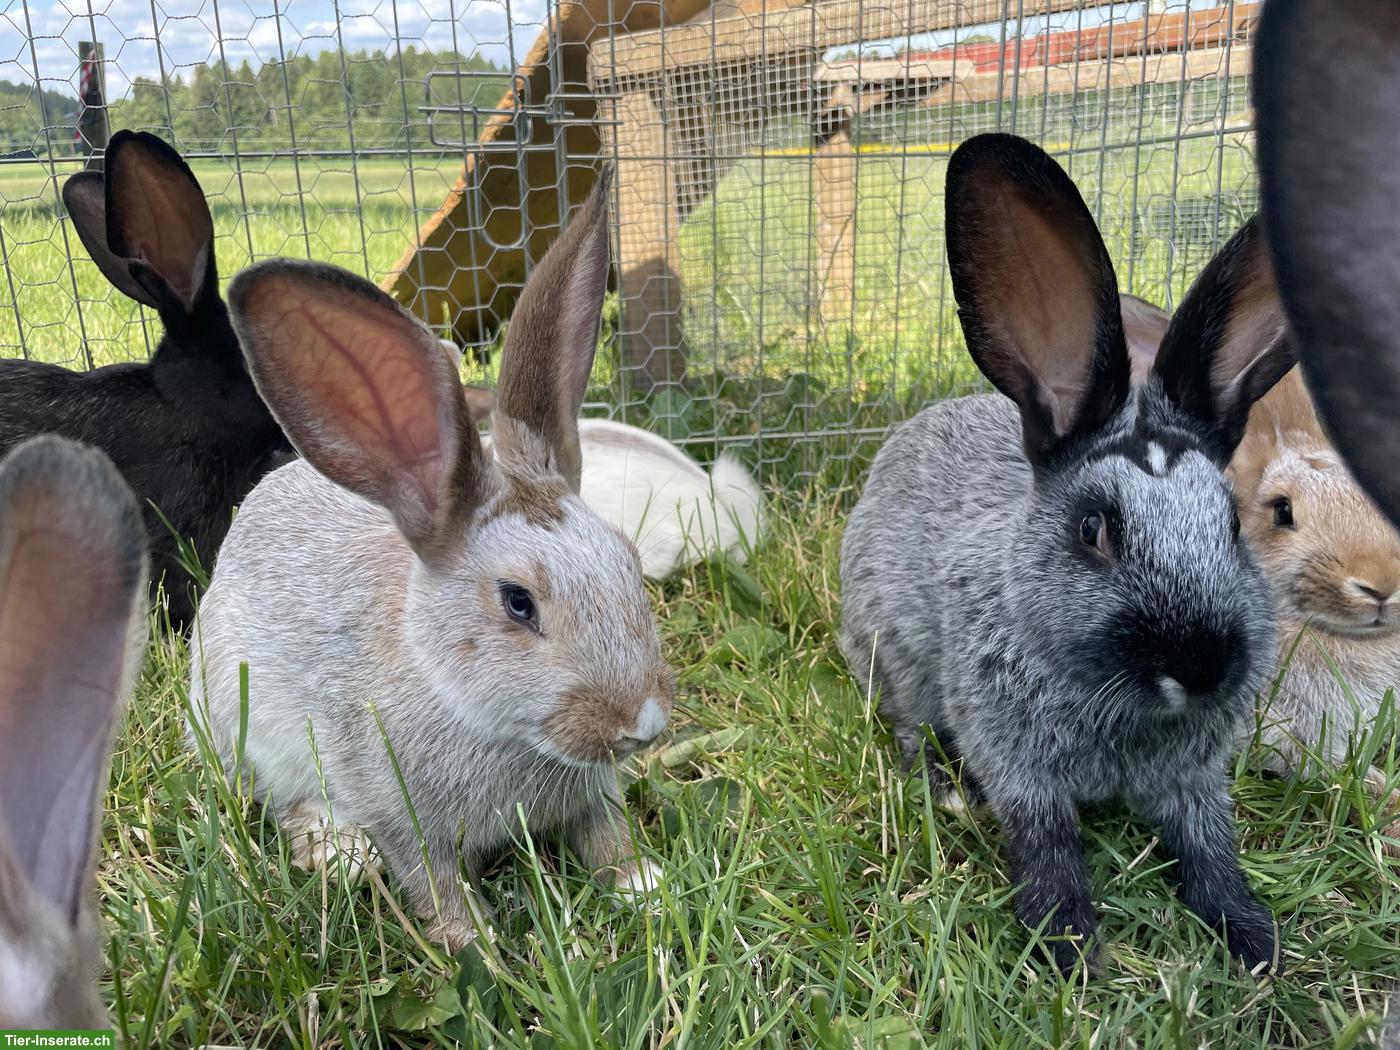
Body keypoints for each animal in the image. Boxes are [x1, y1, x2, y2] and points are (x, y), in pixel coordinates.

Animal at [188, 174, 674, 951]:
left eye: (627, 560)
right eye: (517, 602)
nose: (644, 723)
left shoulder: (593, 796)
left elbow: (607, 838)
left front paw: (644, 889)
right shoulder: (402, 818)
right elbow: (433, 880)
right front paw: (478, 947)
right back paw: (336, 852)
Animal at [840, 134, 1296, 974]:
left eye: (1231, 525)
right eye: (1093, 530)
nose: (1200, 667)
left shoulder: (1194, 785)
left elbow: (1210, 848)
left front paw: (1253, 937)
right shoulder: (1019, 767)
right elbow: (1047, 842)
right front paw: (1069, 945)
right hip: (892, 655)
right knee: (907, 724)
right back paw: (943, 788)